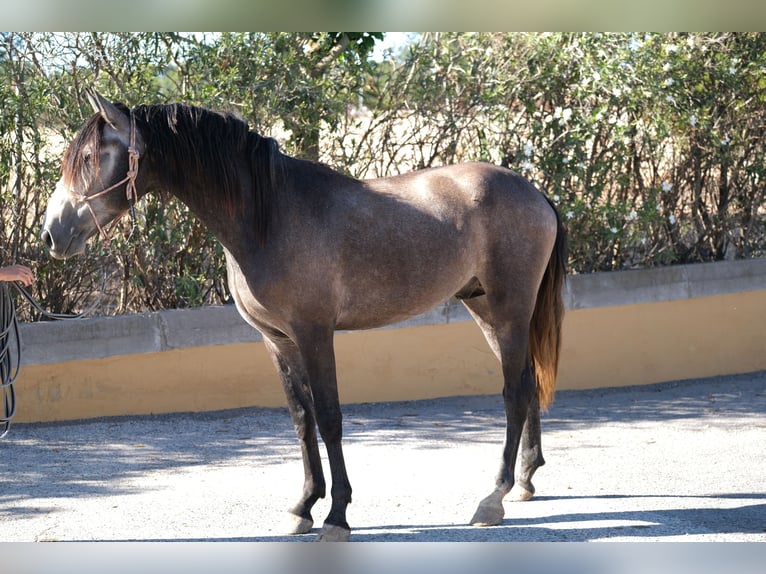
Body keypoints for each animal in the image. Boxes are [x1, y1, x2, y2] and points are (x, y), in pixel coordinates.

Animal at [43, 91, 568, 544]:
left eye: (90, 158)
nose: (52, 233)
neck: (270, 217)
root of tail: (536, 193)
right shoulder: (277, 340)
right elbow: (301, 417)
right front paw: (303, 507)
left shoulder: (315, 334)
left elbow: (330, 417)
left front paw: (337, 515)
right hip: (485, 310)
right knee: (526, 382)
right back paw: (523, 482)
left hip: (509, 311)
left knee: (514, 392)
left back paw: (493, 497)